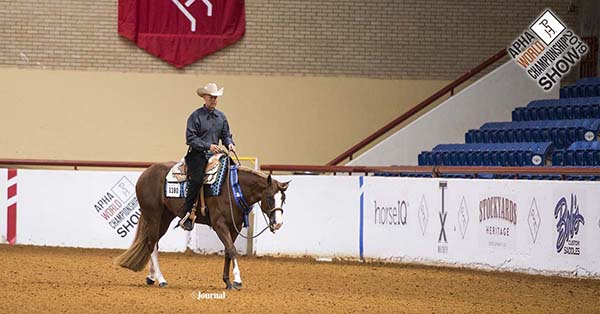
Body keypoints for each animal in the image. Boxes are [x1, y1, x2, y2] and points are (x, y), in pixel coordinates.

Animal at [115, 159, 290, 290]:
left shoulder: (235, 227)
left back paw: (151, 277)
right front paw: (237, 280)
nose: (279, 223)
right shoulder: (220, 224)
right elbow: (232, 250)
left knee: (154, 244)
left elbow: (228, 251)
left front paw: (227, 281)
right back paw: (162, 280)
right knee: (151, 245)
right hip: (153, 216)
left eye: (283, 199)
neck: (233, 189)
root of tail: (145, 174)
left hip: (164, 218)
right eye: (270, 197)